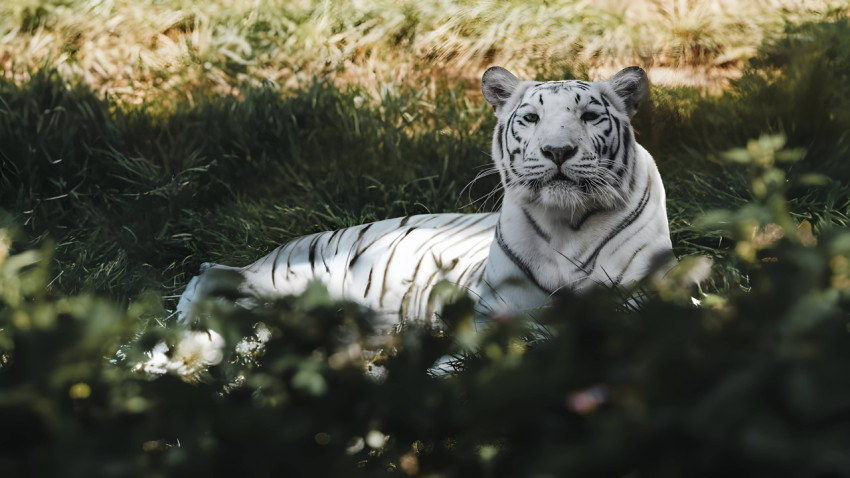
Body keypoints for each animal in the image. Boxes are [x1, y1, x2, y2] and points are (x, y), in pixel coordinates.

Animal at [176, 66, 675, 332]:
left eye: (590, 116)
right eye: (531, 118)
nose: (557, 150)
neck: (565, 221)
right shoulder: (496, 311)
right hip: (295, 277)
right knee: (210, 269)